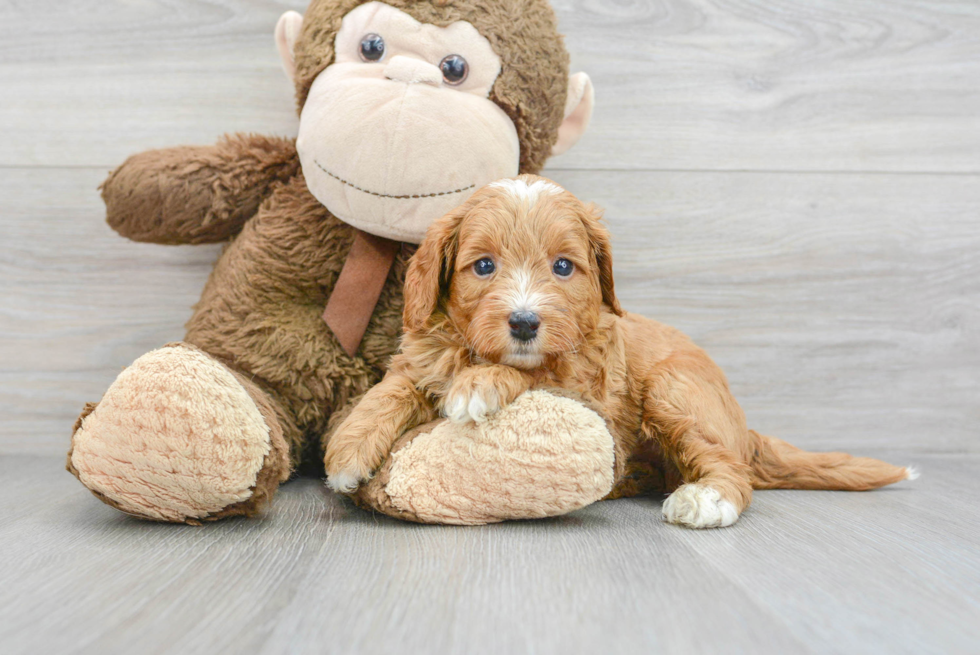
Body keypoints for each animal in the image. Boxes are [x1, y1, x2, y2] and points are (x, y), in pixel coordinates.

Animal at [326, 174, 916, 528]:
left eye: (563, 267)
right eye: (484, 266)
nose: (524, 323)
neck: (476, 351)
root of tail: (745, 429)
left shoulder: (584, 384)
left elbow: (532, 375)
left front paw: (481, 385)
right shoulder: (423, 355)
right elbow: (393, 388)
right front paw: (348, 450)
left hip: (674, 390)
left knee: (730, 471)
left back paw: (706, 500)